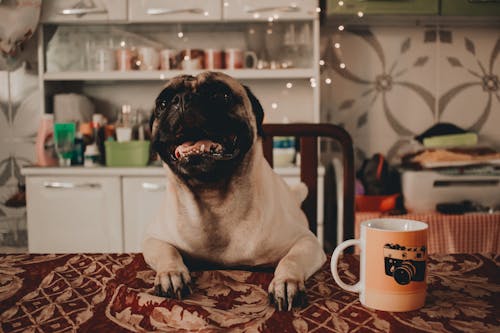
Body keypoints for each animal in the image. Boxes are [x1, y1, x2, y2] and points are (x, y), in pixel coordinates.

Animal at [143, 71, 326, 310]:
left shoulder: (307, 242)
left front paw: (286, 282)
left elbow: (291, 259)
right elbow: (167, 251)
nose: (181, 99)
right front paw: (171, 274)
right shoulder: (153, 240)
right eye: (163, 104)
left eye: (221, 95)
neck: (214, 199)